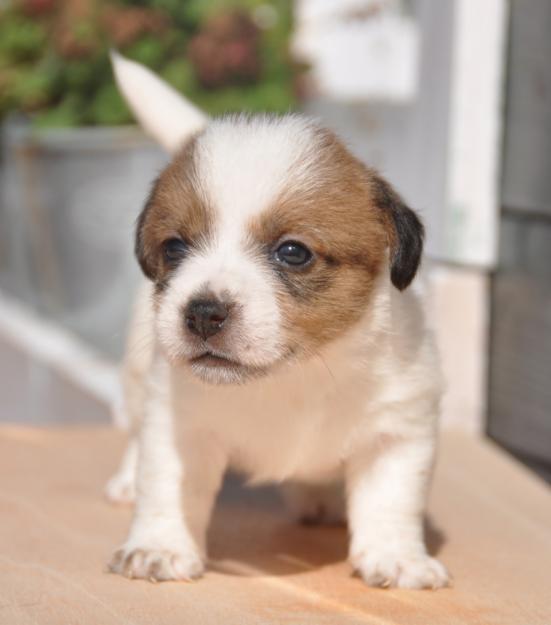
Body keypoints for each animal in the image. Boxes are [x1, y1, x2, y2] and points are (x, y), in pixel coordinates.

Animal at [106, 50, 448, 588]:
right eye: (175, 247)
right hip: (141, 378)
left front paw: (397, 556)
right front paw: (159, 545)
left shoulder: (399, 431)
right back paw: (125, 479)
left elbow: (392, 501)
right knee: (135, 429)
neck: (296, 374)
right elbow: (166, 485)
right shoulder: (178, 426)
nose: (202, 312)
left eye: (293, 252)